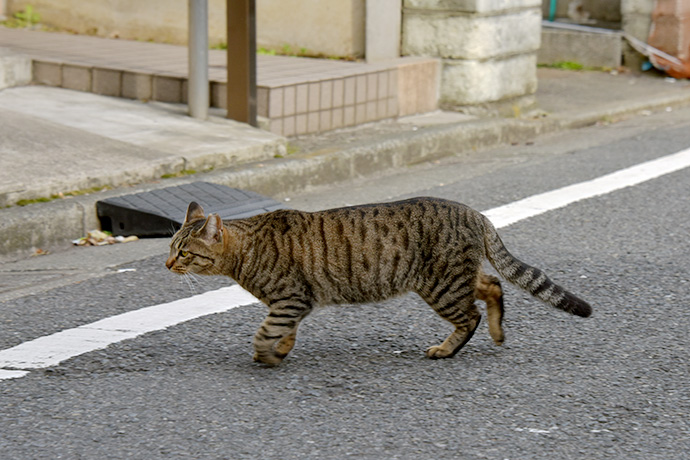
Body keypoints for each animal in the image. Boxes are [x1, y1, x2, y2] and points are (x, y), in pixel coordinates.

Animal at [165, 198, 584, 366]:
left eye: (185, 253)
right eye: (170, 247)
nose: (168, 264)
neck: (246, 253)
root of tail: (475, 213)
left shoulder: (291, 299)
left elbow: (265, 331)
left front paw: (267, 356)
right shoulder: (295, 303)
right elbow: (285, 332)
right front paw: (280, 351)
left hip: (441, 285)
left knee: (471, 315)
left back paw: (446, 350)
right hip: (453, 277)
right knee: (493, 284)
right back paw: (498, 333)